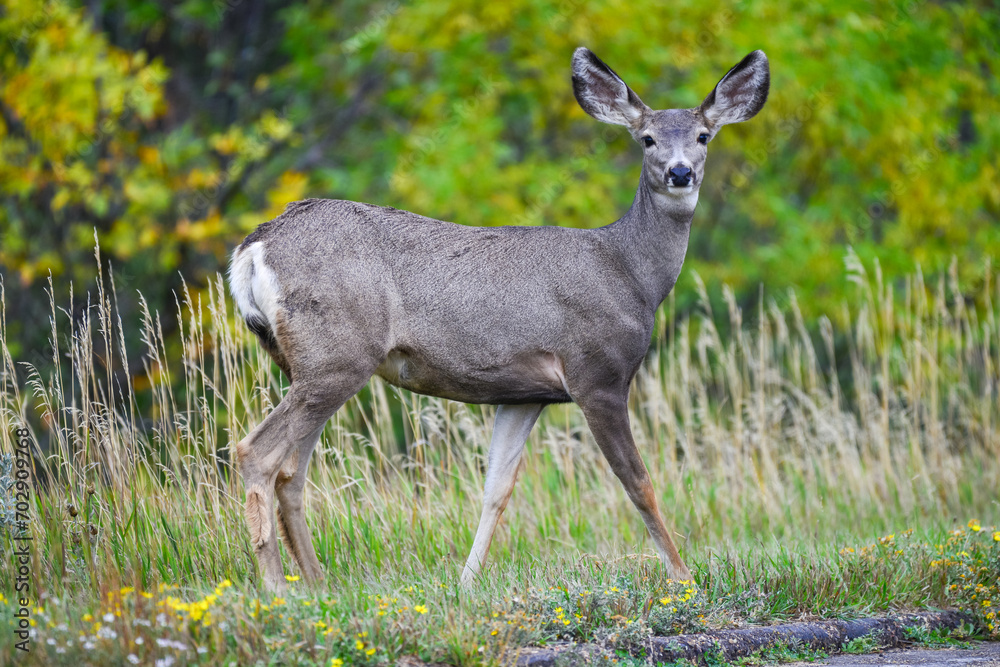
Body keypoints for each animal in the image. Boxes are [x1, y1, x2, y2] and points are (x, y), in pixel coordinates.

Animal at [228, 47, 769, 593]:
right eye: (648, 138)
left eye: (703, 136)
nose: (680, 173)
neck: (630, 273)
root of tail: (254, 246)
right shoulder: (597, 373)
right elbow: (639, 482)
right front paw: (683, 576)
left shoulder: (524, 393)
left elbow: (497, 489)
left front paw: (467, 583)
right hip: (337, 354)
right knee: (258, 452)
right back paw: (275, 587)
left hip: (307, 363)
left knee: (292, 470)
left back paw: (318, 583)